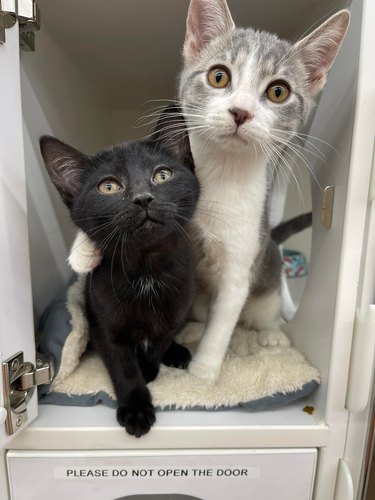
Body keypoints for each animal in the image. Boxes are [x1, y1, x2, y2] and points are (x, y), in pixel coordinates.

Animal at [39, 130, 200, 438]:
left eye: (162, 175)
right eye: (109, 187)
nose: (143, 198)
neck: (147, 270)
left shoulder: (176, 312)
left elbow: (158, 344)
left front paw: (149, 370)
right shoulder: (104, 325)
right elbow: (122, 366)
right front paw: (136, 408)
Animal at [67, 0, 350, 382]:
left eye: (278, 91)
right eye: (219, 76)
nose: (240, 112)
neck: (220, 171)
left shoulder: (239, 264)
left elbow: (224, 319)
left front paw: (203, 371)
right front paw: (83, 250)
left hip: (266, 274)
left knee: (260, 312)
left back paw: (271, 334)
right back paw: (191, 328)